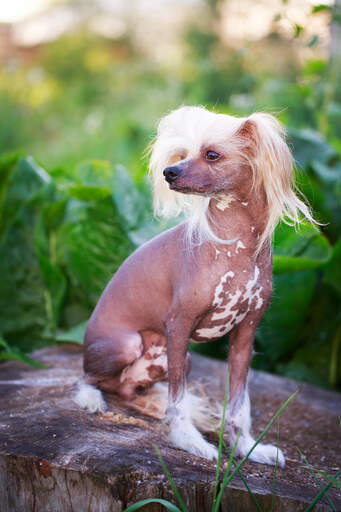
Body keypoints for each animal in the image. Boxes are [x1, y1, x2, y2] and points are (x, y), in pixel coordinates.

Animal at [74, 106, 314, 466]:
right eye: (182, 154)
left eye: (212, 154)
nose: (168, 172)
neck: (235, 245)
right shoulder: (179, 325)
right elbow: (178, 401)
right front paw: (190, 442)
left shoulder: (245, 336)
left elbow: (239, 404)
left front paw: (246, 447)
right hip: (131, 345)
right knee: (86, 377)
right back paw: (91, 398)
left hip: (178, 360)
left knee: (125, 388)